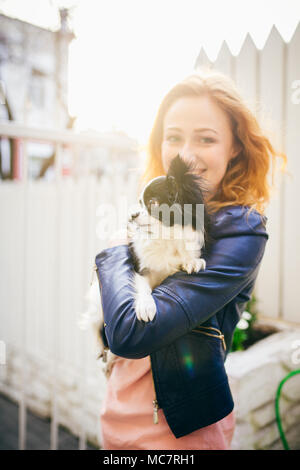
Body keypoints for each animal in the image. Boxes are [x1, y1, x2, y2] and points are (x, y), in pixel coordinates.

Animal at [79, 155, 211, 378]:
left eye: (153, 203)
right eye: (139, 203)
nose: (131, 215)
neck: (167, 237)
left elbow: (188, 255)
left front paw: (192, 261)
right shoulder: (140, 269)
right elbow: (142, 288)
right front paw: (146, 307)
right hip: (97, 305)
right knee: (95, 330)